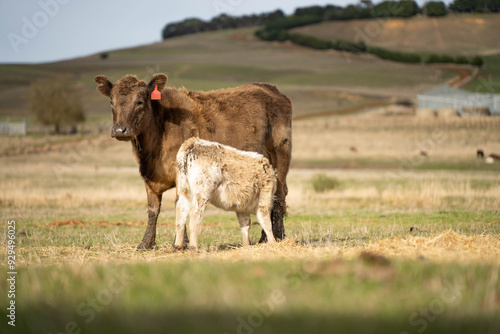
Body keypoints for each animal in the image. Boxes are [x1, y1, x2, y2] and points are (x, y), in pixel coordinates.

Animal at [93, 73, 292, 250]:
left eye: (140, 102)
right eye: (111, 102)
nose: (120, 130)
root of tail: (270, 89)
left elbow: (179, 205)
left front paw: (179, 242)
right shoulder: (149, 179)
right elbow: (153, 209)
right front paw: (146, 244)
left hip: (280, 161)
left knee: (278, 198)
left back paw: (276, 237)